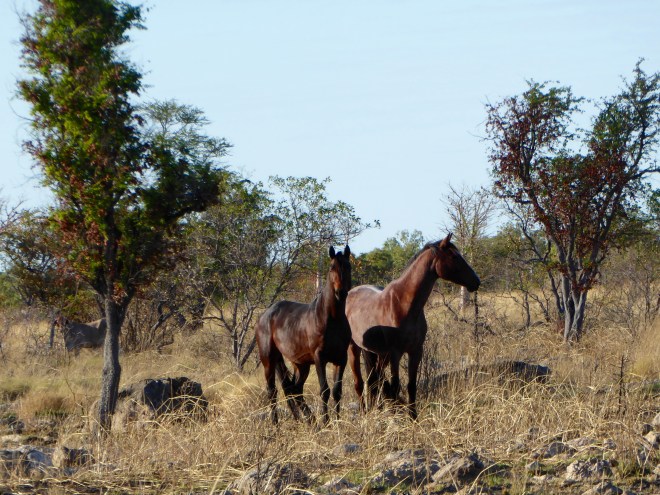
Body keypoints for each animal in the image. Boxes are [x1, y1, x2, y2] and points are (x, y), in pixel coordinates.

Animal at [256, 245, 352, 424]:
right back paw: (276, 424)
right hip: (268, 359)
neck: (332, 318)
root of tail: (265, 315)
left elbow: (337, 391)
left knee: (295, 389)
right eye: (332, 267)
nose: (340, 293)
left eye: (348, 266)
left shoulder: (341, 359)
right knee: (272, 391)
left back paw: (308, 420)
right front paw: (326, 422)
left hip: (301, 364)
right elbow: (324, 390)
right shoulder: (319, 358)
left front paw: (337, 422)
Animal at [346, 233, 480, 419]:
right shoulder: (395, 353)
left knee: (374, 380)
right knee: (360, 382)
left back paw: (377, 409)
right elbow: (395, 386)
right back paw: (365, 412)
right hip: (355, 348)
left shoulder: (416, 351)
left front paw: (413, 417)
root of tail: (350, 293)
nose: (476, 281)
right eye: (454, 256)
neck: (404, 304)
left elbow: (411, 386)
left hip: (376, 353)